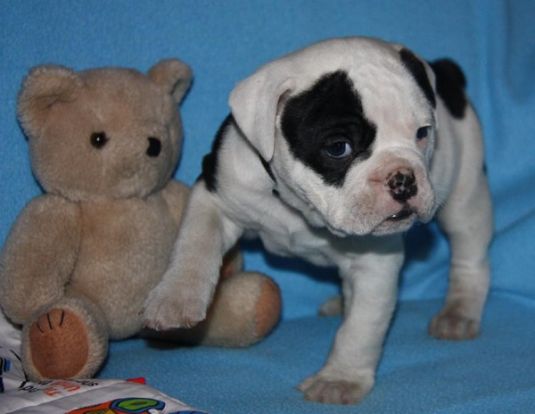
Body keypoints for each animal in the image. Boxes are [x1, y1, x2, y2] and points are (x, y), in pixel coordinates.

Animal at [143, 35, 494, 404]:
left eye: (423, 133)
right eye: (339, 147)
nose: (403, 179)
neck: (300, 206)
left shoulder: (375, 265)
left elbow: (361, 327)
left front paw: (340, 378)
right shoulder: (216, 193)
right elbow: (195, 243)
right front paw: (174, 299)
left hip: (465, 195)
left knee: (469, 255)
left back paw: (458, 312)